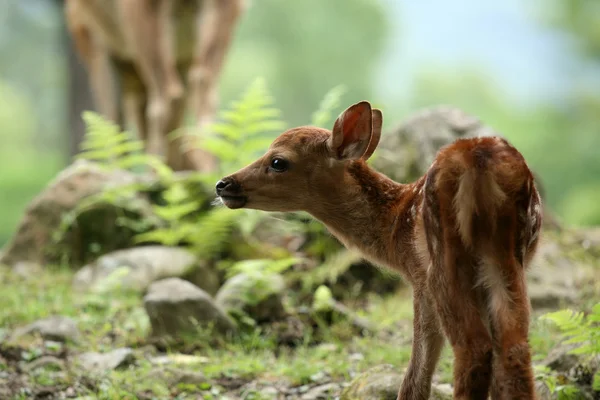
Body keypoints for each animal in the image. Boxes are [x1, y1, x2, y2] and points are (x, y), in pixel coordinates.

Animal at [217, 101, 544, 398]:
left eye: (278, 161)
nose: (223, 184)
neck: (395, 226)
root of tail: (480, 166)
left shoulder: (418, 278)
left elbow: (416, 372)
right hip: (506, 259)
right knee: (514, 349)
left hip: (444, 264)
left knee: (473, 348)